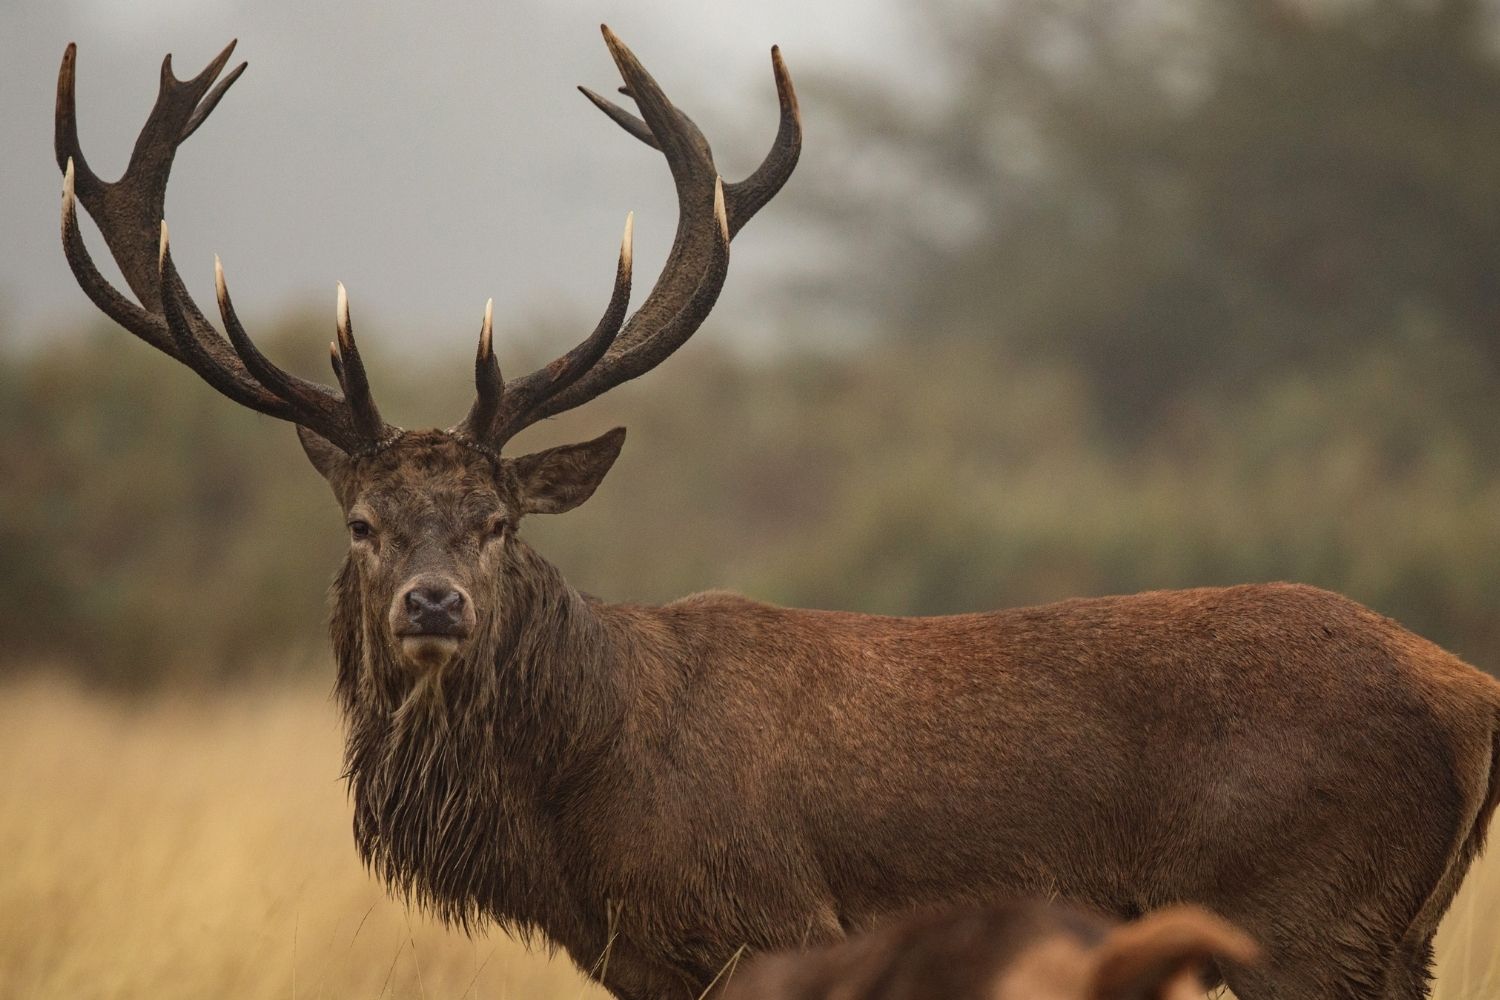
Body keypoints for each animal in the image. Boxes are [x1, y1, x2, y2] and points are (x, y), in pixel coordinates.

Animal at [56, 27, 1500, 1000]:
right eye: (363, 523)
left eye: (499, 524)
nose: (434, 603)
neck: (578, 811)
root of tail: (1470, 694)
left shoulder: (769, 922)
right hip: (1396, 936)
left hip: (1302, 915)